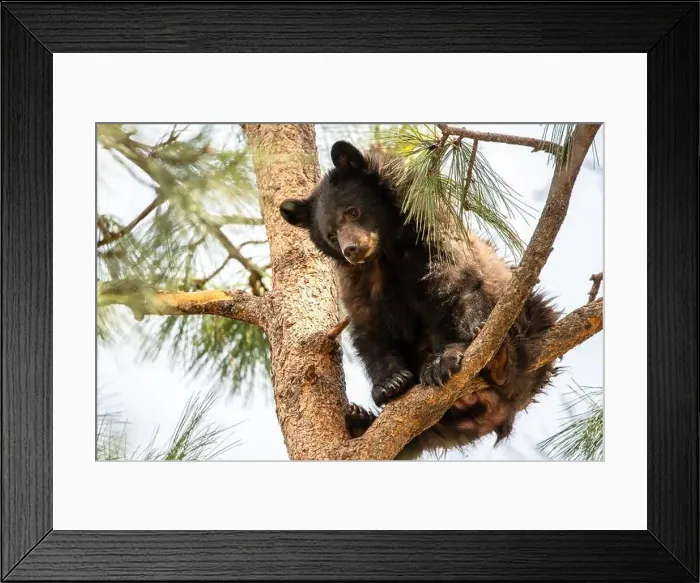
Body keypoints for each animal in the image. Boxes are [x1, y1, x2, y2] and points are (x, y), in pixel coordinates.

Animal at [279, 139, 561, 460]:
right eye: (329, 234)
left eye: (352, 211)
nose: (352, 249)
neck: (387, 250)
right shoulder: (360, 281)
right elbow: (369, 330)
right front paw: (390, 384)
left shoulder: (432, 236)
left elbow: (455, 286)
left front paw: (445, 358)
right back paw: (359, 421)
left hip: (526, 311)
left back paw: (499, 360)